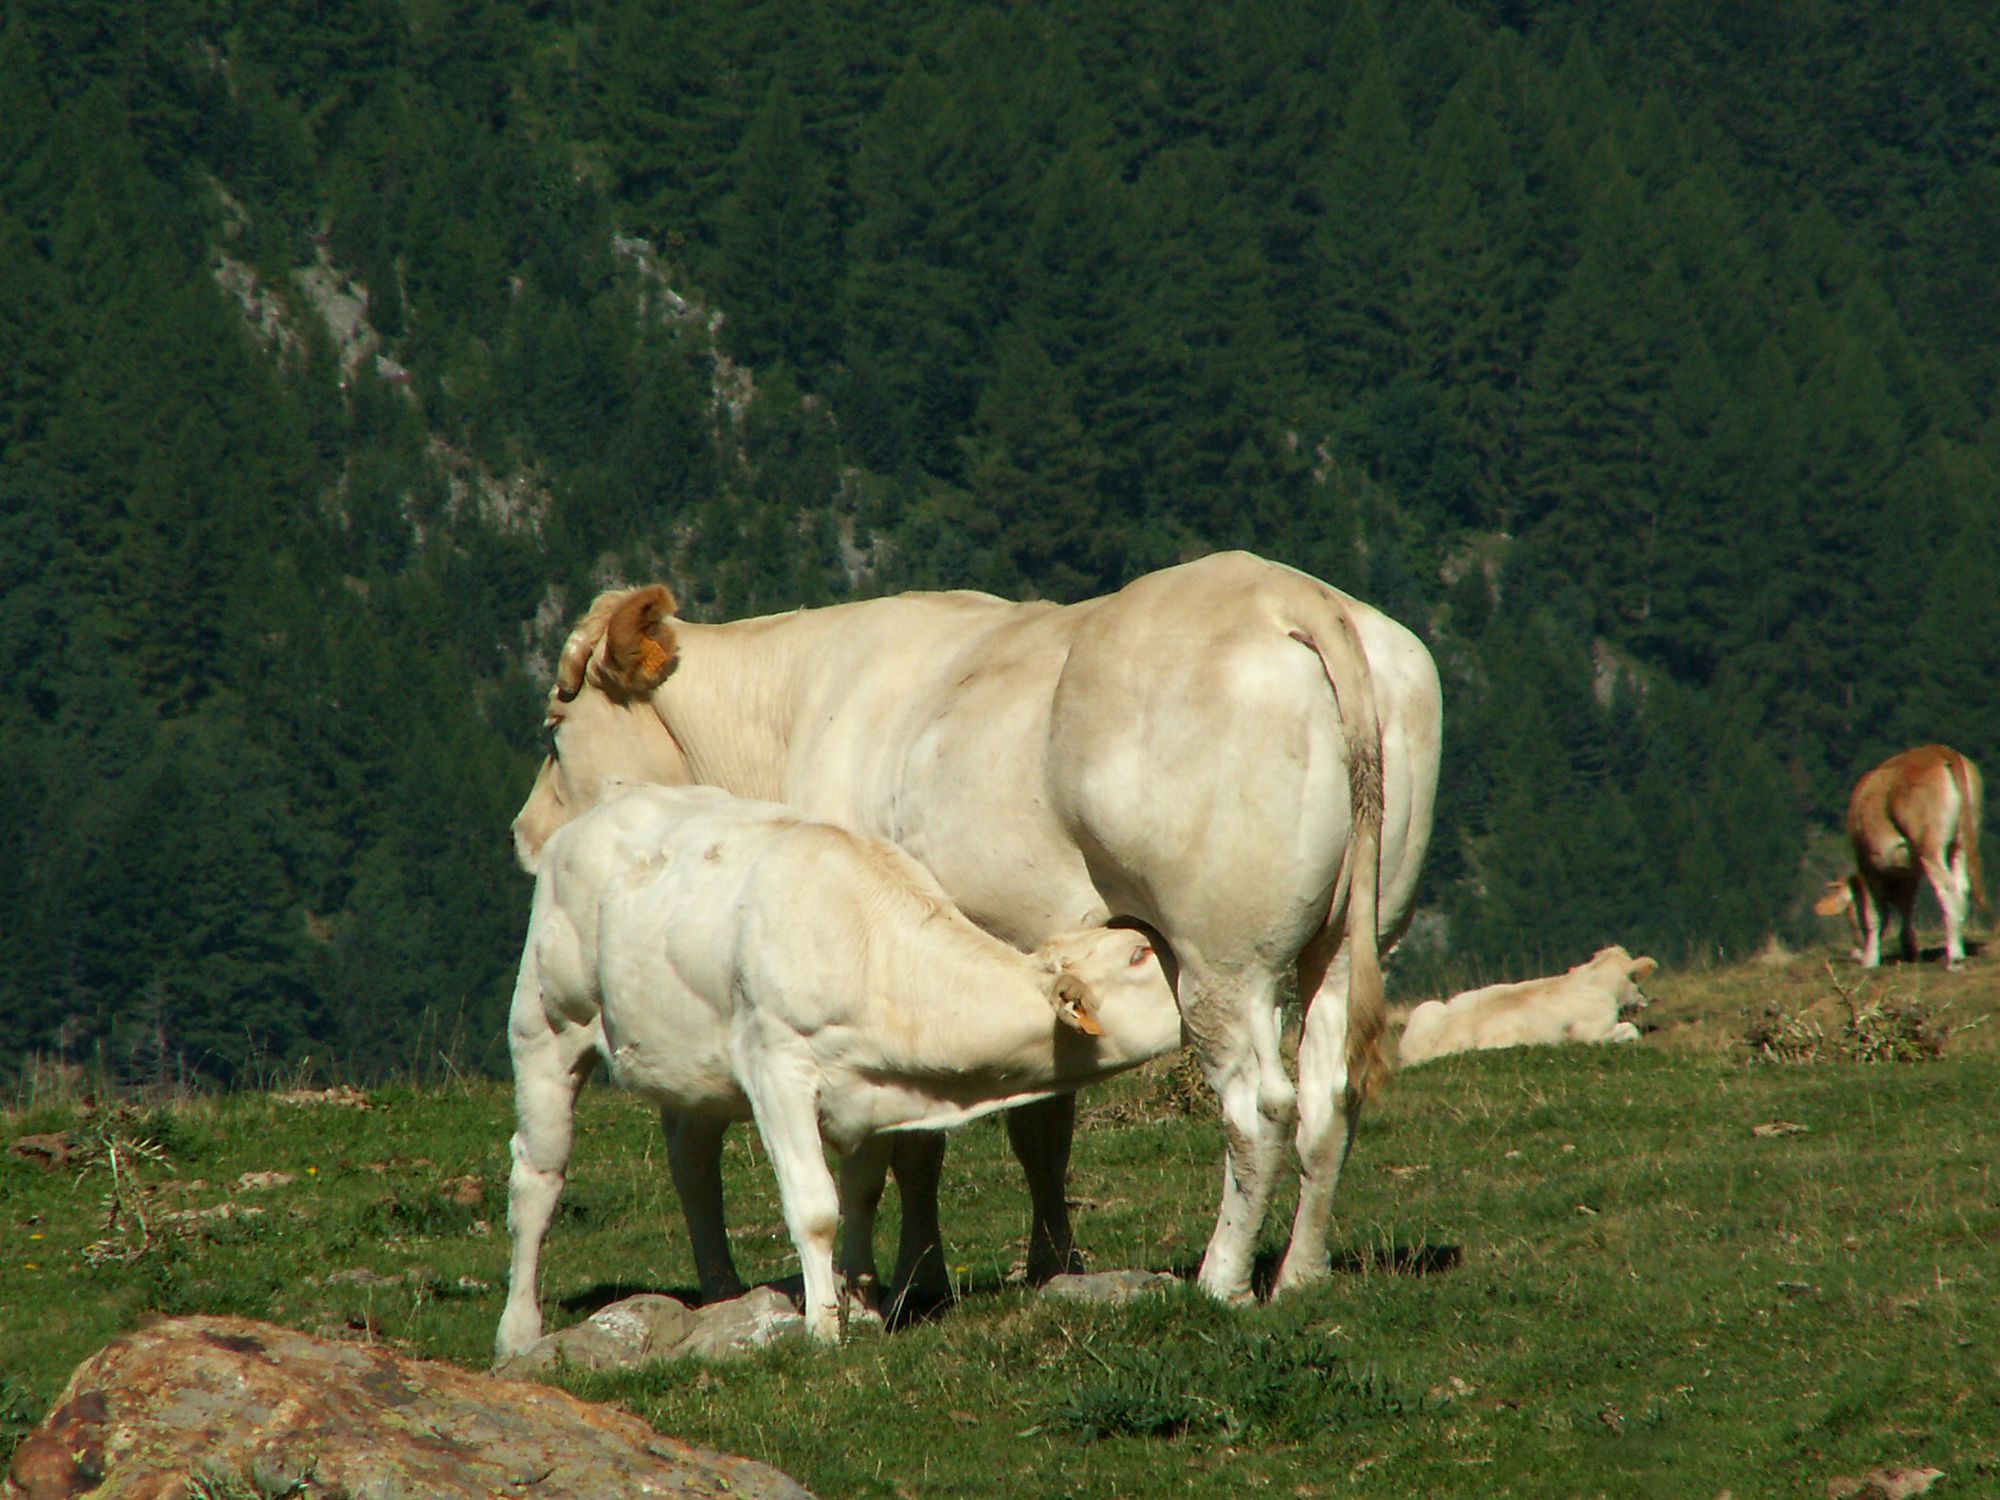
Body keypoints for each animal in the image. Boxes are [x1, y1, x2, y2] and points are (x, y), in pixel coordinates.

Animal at [495, 785, 1182, 1355]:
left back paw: (721, 1291)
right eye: (1139, 956)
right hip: (545, 1026)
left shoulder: (876, 1087)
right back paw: (519, 1331)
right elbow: (817, 1206)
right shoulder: (775, 1067)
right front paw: (825, 1326)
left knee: (694, 1168)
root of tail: (589, 817)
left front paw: (866, 1306)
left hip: (689, 1066)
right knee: (539, 1176)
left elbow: (863, 1195)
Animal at [512, 550, 1443, 1305]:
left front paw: (904, 1278)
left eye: (554, 732)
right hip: (1352, 935)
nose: (525, 836)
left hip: (1224, 955)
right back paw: (1301, 1276)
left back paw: (1222, 1282)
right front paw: (1049, 1265)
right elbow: (1039, 1131)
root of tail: (1290, 591)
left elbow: (910, 1147)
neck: (788, 715)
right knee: (1329, 1094)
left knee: (1259, 1107)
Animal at [1395, 946, 1658, 1067]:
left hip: (1427, 1006)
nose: (1646, 999)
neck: (1593, 981)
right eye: (1636, 980)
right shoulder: (1593, 1033)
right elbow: (1629, 1029)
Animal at [1815, 744, 1986, 969]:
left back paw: (1954, 957)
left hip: (1929, 847)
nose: (1855, 953)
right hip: (1961, 842)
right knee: (1963, 885)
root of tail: (1938, 750)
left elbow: (1874, 912)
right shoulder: (1910, 872)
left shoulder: (1867, 864)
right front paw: (1909, 949)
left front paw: (1870, 959)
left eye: (1850, 914)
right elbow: (1906, 907)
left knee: (1948, 889)